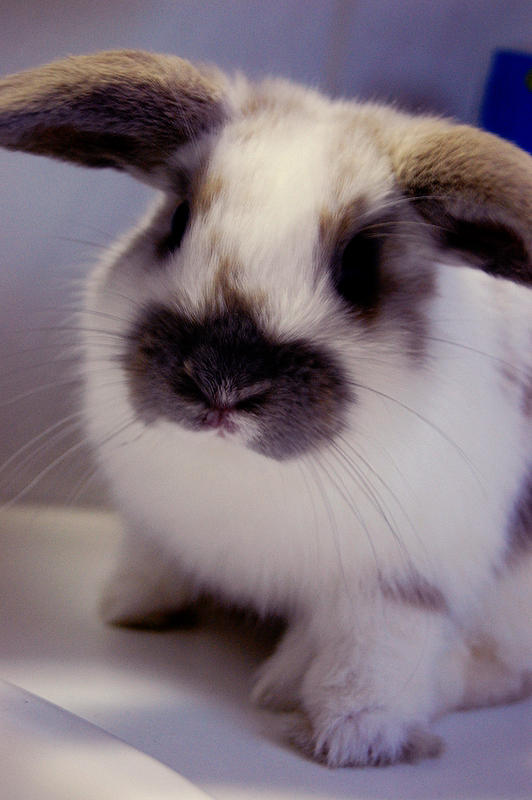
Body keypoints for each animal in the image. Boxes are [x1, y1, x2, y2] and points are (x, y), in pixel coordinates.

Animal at [0, 50, 531, 768]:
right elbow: (152, 559)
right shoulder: (151, 522)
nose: (221, 384)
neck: (235, 467)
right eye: (177, 220)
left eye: (360, 266)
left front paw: (349, 739)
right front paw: (130, 609)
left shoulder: (404, 582)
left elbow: (372, 661)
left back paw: (291, 680)